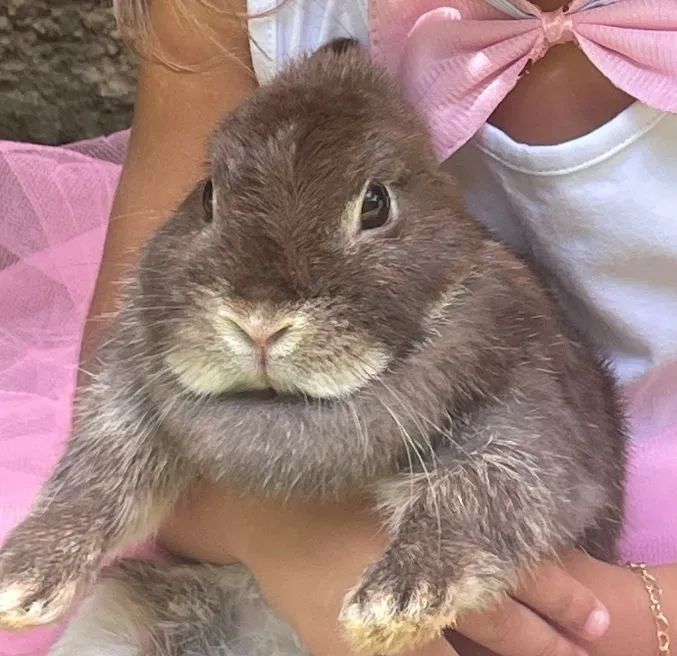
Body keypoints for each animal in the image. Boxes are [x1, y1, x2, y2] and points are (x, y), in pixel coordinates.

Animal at [0, 39, 626, 656]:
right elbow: (98, 472)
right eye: (207, 197)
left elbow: (478, 495)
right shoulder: (127, 391)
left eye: (376, 204)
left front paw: (393, 604)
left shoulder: (529, 413)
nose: (259, 323)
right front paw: (22, 582)